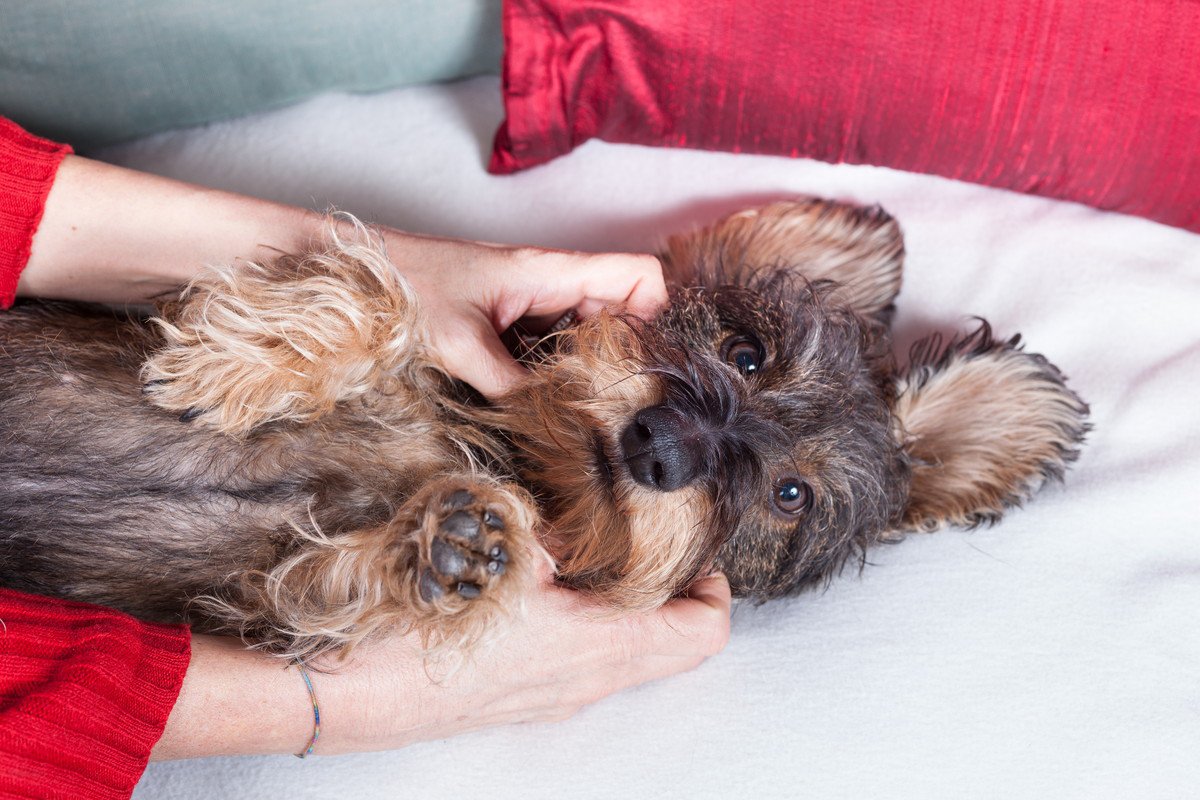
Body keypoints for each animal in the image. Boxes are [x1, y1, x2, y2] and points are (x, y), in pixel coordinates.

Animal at [0, 196, 1094, 662]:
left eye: (791, 496)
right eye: (746, 352)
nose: (662, 443)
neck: (536, 466)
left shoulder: (267, 601)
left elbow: (332, 587)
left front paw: (449, 549)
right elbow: (390, 299)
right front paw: (244, 358)